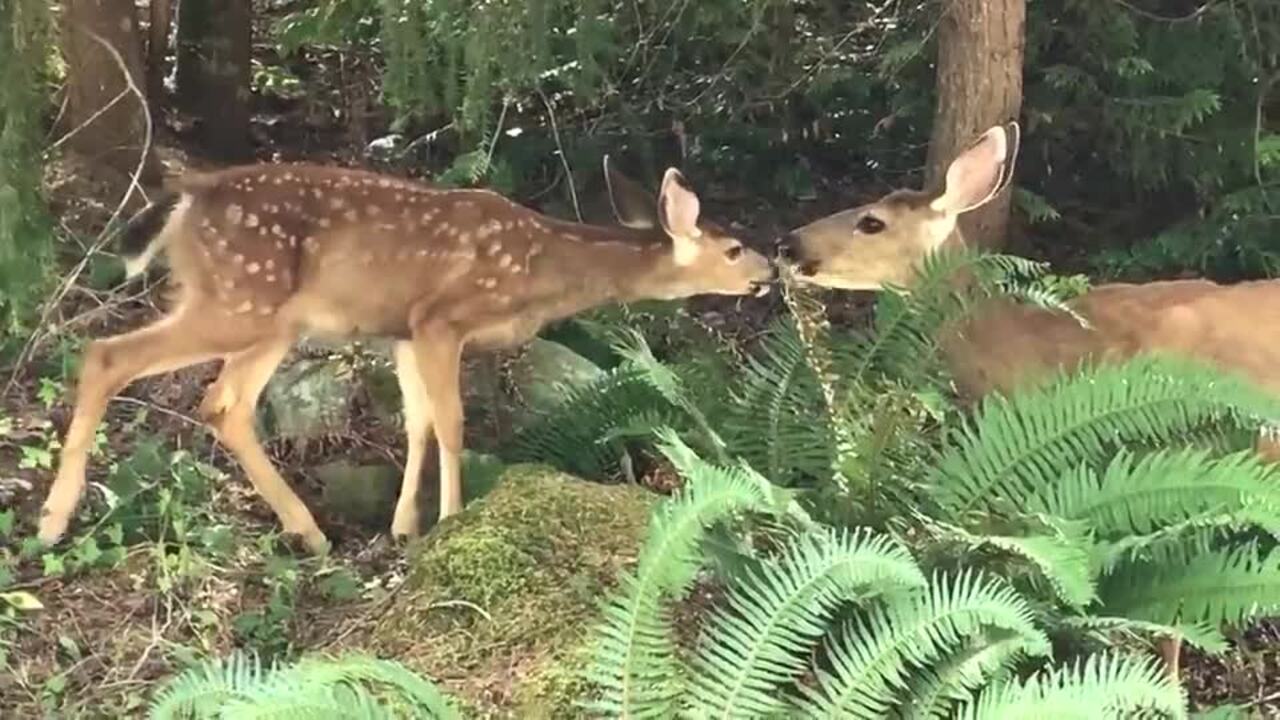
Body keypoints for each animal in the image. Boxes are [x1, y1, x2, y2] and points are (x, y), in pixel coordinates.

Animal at [36, 158, 775, 556]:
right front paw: (451, 519)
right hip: (239, 299)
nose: (770, 271)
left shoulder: (400, 330)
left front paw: (403, 527)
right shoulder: (440, 319)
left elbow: (416, 422)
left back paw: (310, 533)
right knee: (107, 355)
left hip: (266, 318)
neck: (541, 270)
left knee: (224, 403)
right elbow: (451, 422)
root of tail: (191, 194)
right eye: (733, 247)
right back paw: (52, 521)